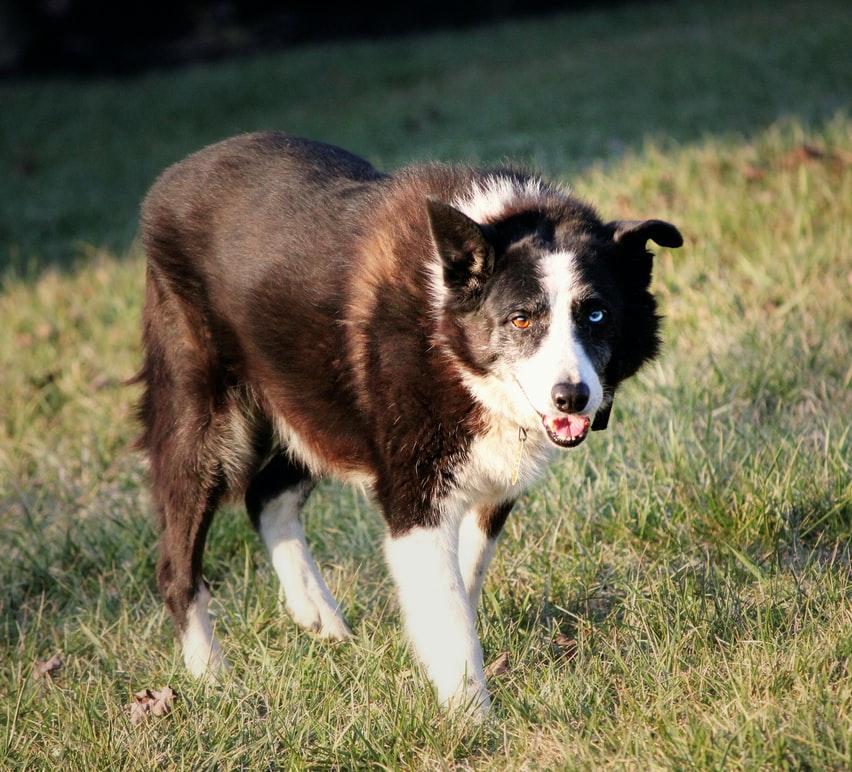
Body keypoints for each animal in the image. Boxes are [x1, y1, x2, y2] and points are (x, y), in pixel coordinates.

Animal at [138, 133, 684, 716]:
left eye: (597, 314)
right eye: (521, 319)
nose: (572, 397)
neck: (446, 331)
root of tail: (169, 181)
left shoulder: (493, 482)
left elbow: (462, 582)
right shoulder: (414, 495)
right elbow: (449, 613)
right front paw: (472, 718)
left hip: (318, 403)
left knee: (265, 493)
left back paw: (318, 616)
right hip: (207, 423)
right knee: (178, 567)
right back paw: (212, 679)